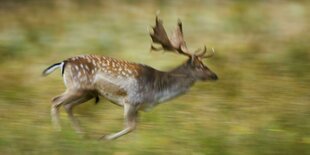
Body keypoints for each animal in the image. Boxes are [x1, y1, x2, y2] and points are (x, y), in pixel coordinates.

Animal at [42, 16, 218, 140]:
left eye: (205, 64)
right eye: (200, 66)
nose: (215, 75)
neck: (157, 91)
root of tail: (63, 62)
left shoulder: (138, 107)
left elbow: (135, 129)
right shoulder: (131, 101)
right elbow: (130, 127)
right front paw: (105, 138)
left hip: (88, 93)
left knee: (67, 106)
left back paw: (81, 135)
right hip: (77, 87)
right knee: (55, 100)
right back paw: (58, 132)